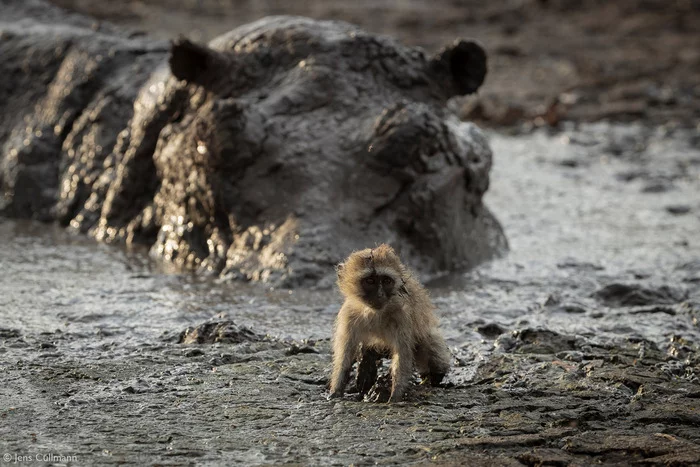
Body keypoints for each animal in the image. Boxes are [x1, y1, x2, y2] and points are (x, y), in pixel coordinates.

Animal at [330, 245, 452, 402]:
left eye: (386, 281)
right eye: (370, 281)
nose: (380, 295)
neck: (374, 313)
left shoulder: (402, 316)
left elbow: (402, 354)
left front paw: (395, 396)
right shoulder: (348, 315)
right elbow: (345, 355)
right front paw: (336, 391)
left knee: (428, 345)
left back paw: (433, 379)